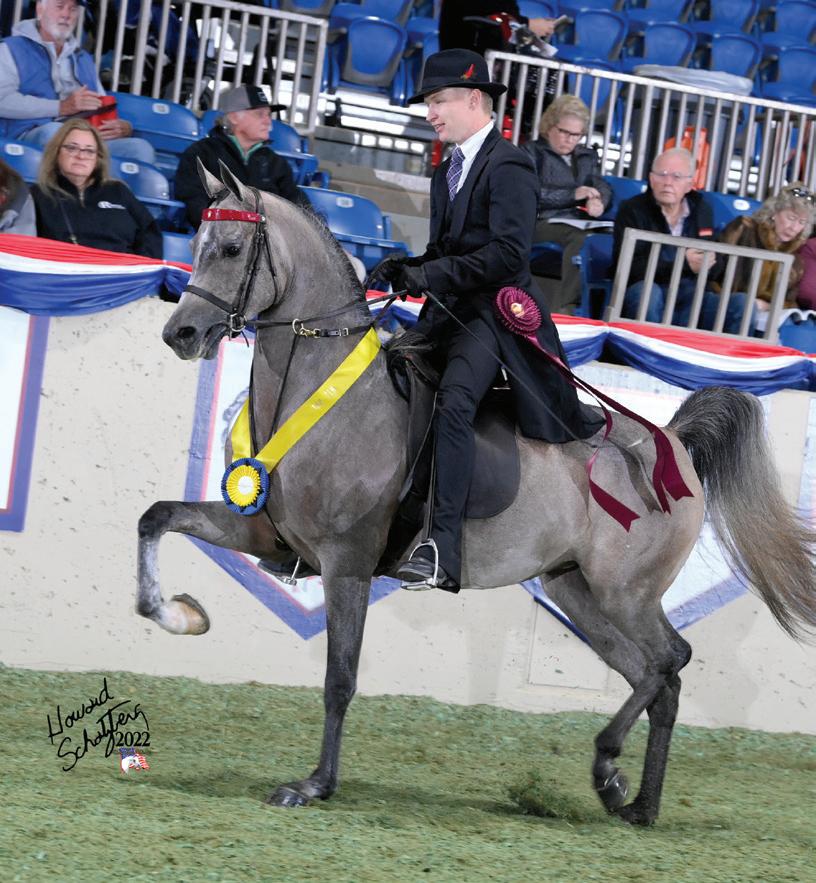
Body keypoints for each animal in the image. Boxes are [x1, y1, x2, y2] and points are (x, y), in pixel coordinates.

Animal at [138, 164, 816, 826]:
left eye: (230, 248)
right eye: (195, 245)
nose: (180, 333)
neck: (320, 394)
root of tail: (671, 441)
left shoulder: (347, 563)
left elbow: (340, 677)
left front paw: (314, 785)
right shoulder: (267, 536)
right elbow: (157, 517)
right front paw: (179, 614)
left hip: (625, 592)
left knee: (670, 659)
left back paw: (608, 765)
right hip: (579, 592)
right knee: (655, 674)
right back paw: (635, 801)